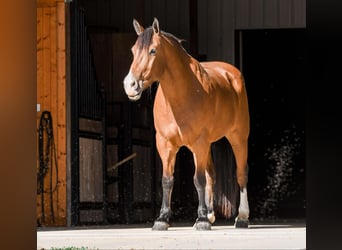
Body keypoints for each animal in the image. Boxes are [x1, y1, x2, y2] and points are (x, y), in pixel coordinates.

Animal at [124, 18, 250, 230]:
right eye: (133, 50)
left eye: (153, 51)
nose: (130, 85)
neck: (182, 96)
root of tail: (232, 74)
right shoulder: (166, 144)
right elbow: (167, 180)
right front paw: (162, 219)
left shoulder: (199, 143)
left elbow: (198, 180)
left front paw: (201, 220)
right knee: (211, 175)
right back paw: (211, 214)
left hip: (237, 138)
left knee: (241, 173)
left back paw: (241, 217)